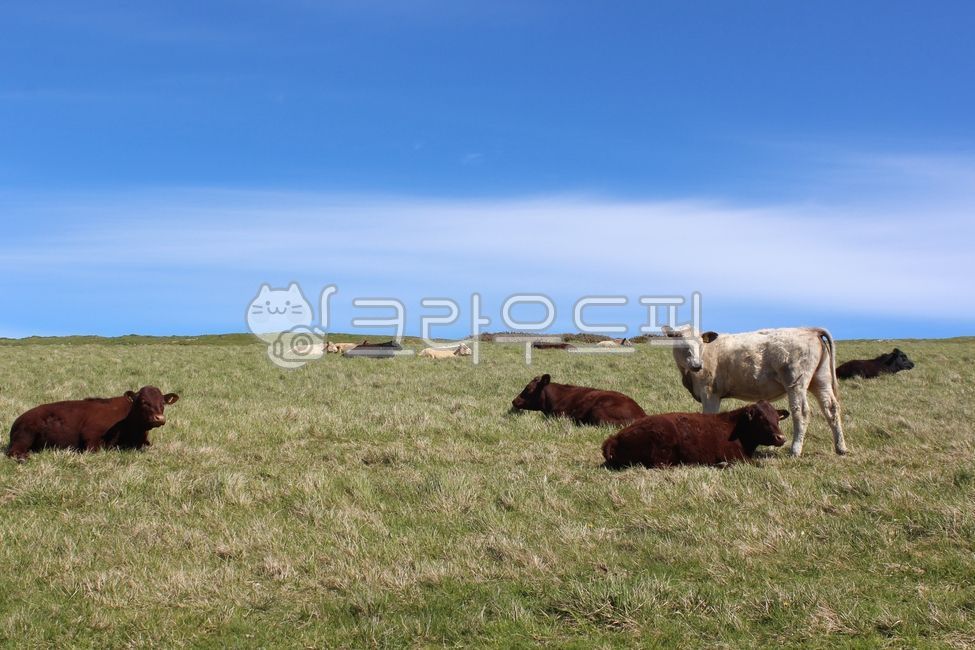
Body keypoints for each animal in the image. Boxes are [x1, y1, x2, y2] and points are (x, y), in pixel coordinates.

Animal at [6, 386, 179, 461]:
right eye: (144, 402)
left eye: (163, 403)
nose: (159, 418)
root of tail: (19, 419)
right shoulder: (91, 436)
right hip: (25, 436)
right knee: (13, 451)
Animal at [602, 401, 789, 469]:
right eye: (761, 419)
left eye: (777, 418)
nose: (781, 438)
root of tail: (614, 438)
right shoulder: (735, 456)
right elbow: (758, 464)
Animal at [663, 326, 847, 457]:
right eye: (682, 344)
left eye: (700, 344)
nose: (697, 365)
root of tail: (809, 329)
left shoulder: (710, 393)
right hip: (821, 380)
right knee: (831, 409)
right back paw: (841, 448)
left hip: (796, 382)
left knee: (800, 412)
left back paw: (795, 450)